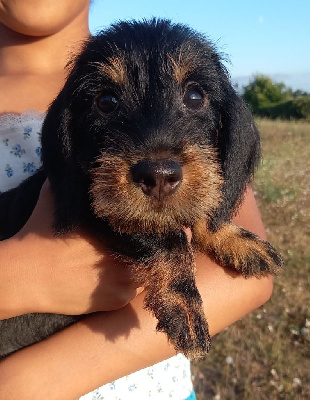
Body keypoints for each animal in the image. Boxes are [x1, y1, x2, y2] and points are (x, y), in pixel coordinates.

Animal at [0, 20, 282, 360]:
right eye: (106, 101)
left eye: (195, 96)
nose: (158, 177)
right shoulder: (98, 203)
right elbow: (170, 240)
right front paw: (183, 305)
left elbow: (203, 206)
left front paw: (236, 239)